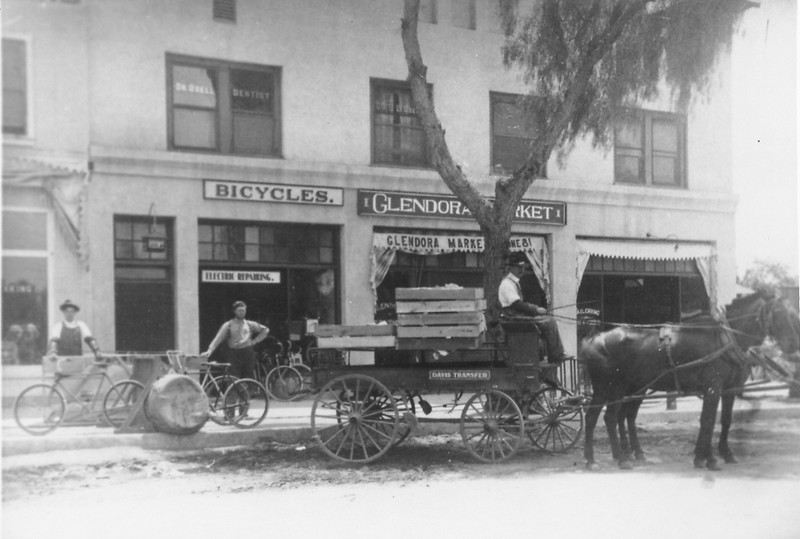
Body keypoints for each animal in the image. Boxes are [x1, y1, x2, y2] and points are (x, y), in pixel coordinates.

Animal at [580, 292, 800, 472]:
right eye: (778, 312)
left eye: (792, 312)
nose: (793, 345)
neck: (723, 338)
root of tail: (594, 339)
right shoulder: (713, 388)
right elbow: (708, 421)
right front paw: (710, 459)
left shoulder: (729, 389)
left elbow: (723, 420)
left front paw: (719, 454)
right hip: (609, 388)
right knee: (601, 418)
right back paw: (604, 459)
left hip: (634, 388)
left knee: (620, 417)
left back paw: (623, 455)